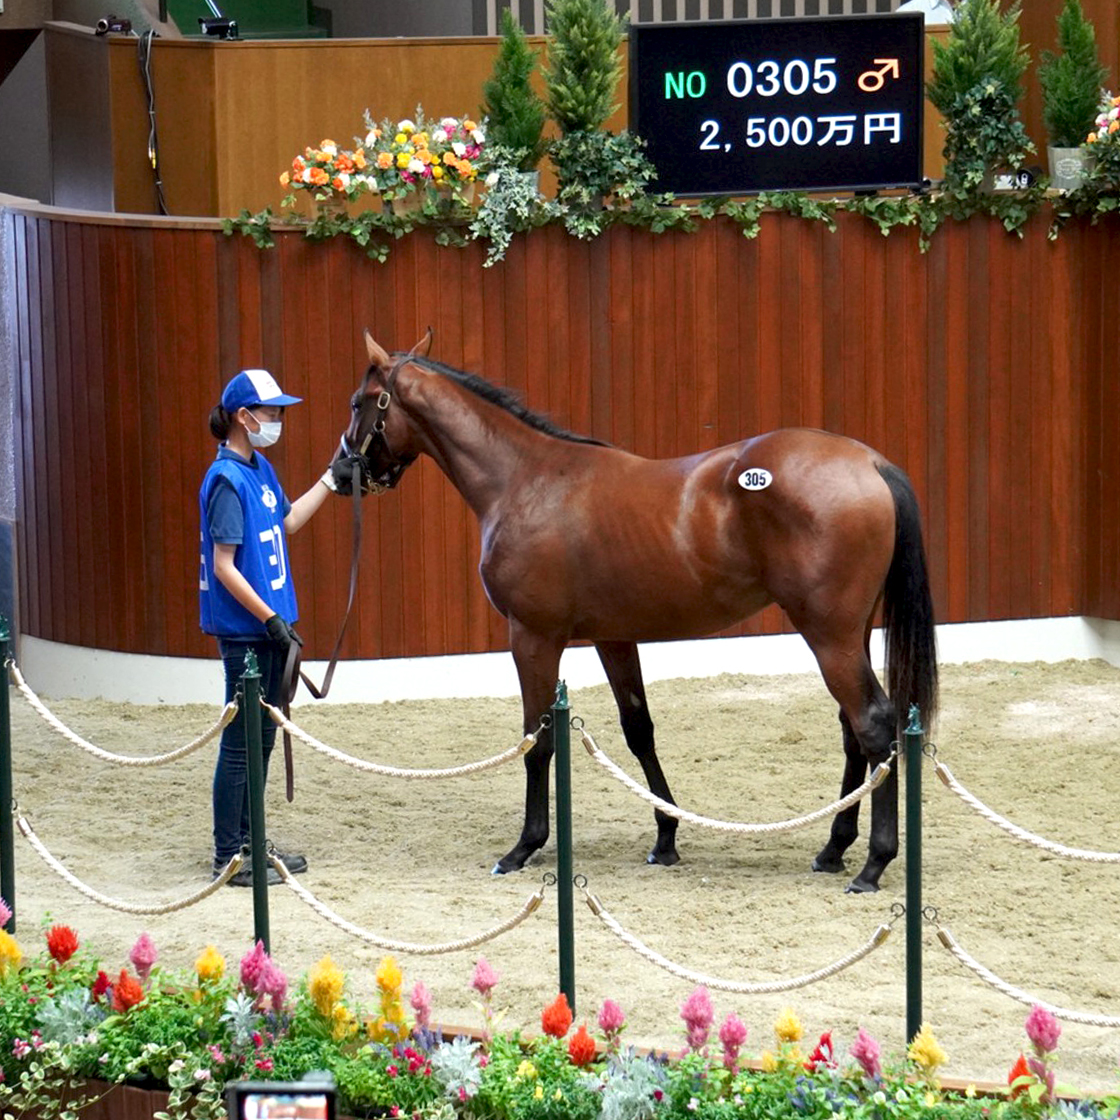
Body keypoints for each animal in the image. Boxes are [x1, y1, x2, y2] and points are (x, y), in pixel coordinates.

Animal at [329, 329, 936, 891]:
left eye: (361, 402)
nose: (339, 474)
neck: (524, 480)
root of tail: (871, 462)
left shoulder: (533, 638)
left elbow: (537, 742)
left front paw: (525, 846)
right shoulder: (613, 636)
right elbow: (638, 728)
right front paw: (666, 836)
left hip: (829, 635)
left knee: (873, 723)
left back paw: (874, 863)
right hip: (850, 634)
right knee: (852, 729)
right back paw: (833, 848)